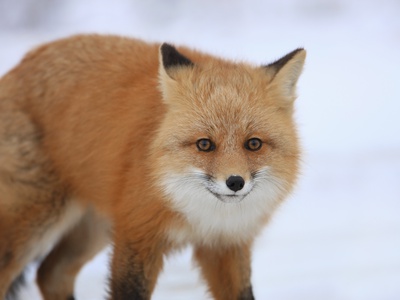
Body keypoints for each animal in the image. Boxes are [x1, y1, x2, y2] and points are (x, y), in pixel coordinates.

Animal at [0, 34, 304, 298]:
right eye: (204, 144)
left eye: (253, 144)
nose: (235, 182)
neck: (201, 215)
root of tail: (25, 61)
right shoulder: (137, 235)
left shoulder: (227, 244)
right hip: (37, 221)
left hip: (95, 228)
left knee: (50, 273)